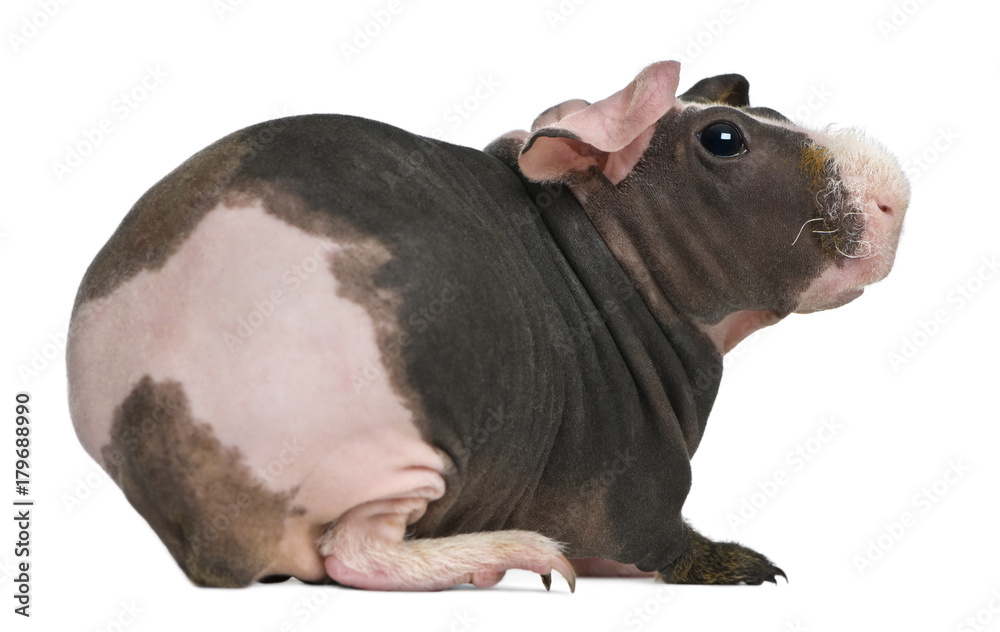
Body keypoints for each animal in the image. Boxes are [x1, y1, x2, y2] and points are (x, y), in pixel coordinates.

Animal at [66, 61, 909, 591]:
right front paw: (737, 561)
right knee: (352, 554)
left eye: (769, 114)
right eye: (725, 139)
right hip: (397, 450)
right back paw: (511, 555)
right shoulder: (637, 484)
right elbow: (661, 538)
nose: (896, 194)